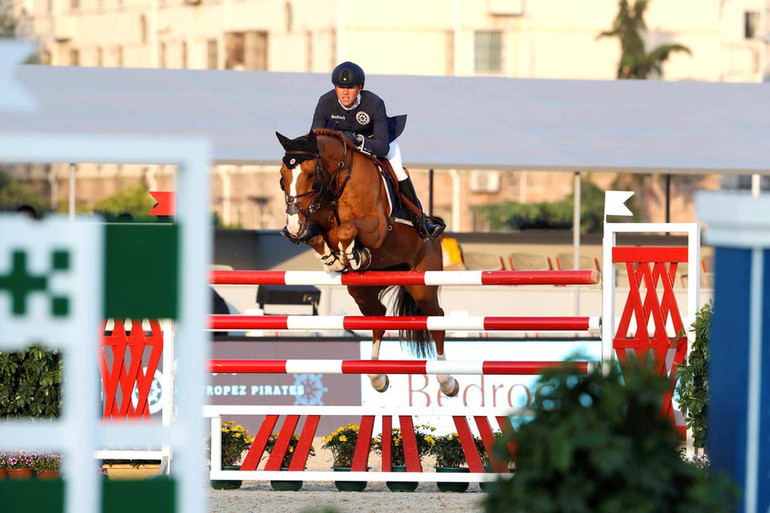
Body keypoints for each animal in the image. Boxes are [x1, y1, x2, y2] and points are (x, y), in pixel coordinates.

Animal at [274, 128, 456, 396]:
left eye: (310, 174)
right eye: (282, 176)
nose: (293, 224)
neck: (337, 182)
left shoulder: (377, 226)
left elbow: (346, 230)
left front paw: (351, 254)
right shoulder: (315, 221)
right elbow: (317, 235)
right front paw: (334, 259)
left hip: (421, 286)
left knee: (437, 320)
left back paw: (446, 380)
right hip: (363, 291)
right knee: (377, 318)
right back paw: (377, 376)